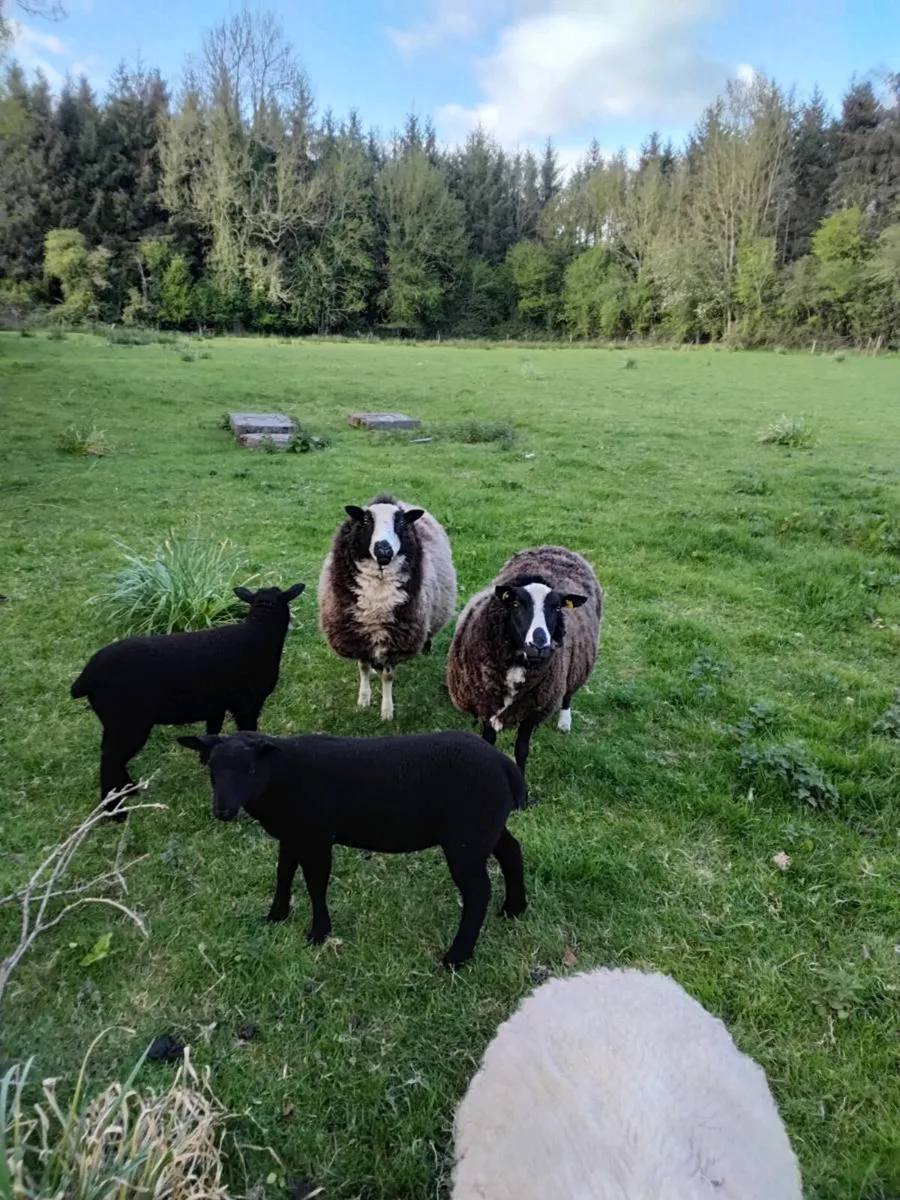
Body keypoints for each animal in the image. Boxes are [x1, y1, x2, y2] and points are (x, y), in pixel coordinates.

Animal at [71, 583, 304, 818]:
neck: (259, 632)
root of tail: (86, 678)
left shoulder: (216, 705)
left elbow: (213, 730)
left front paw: (206, 761)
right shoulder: (248, 704)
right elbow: (249, 733)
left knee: (113, 758)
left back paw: (130, 790)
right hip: (126, 722)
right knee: (110, 761)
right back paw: (115, 811)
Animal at [177, 728, 527, 969]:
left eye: (250, 770)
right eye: (211, 770)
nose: (222, 811)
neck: (280, 778)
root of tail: (503, 764)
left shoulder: (315, 836)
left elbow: (315, 883)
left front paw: (318, 934)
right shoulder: (292, 835)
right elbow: (283, 873)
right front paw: (276, 916)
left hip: (466, 836)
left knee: (478, 892)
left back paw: (456, 957)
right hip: (486, 828)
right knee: (512, 851)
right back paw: (515, 908)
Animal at [317, 493, 456, 721]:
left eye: (400, 522)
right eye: (366, 520)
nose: (383, 550)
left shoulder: (397, 638)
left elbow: (388, 677)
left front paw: (387, 711)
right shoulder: (358, 635)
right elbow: (363, 668)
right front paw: (364, 699)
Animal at [447, 545, 603, 788]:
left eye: (557, 608)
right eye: (517, 603)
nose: (539, 644)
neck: (518, 665)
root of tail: (556, 547)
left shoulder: (534, 711)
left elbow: (522, 750)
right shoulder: (488, 704)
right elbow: (489, 743)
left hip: (576, 667)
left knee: (568, 692)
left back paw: (564, 721)